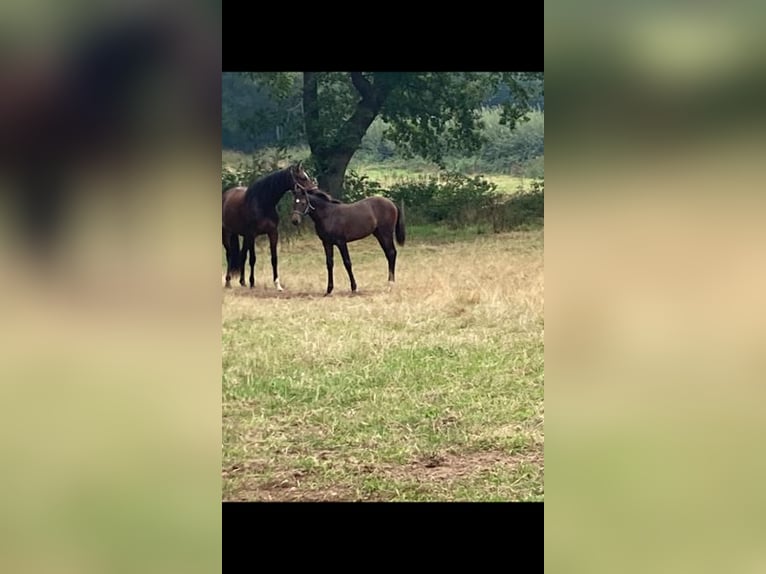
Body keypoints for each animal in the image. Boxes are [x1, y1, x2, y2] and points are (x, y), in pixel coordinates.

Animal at [222, 162, 318, 290]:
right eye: (303, 178)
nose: (315, 190)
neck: (263, 203)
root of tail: (226, 194)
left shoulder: (272, 233)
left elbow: (274, 259)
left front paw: (277, 284)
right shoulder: (252, 235)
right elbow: (253, 259)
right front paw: (252, 283)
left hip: (244, 236)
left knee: (242, 255)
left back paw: (242, 282)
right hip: (227, 233)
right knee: (229, 255)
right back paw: (228, 282)